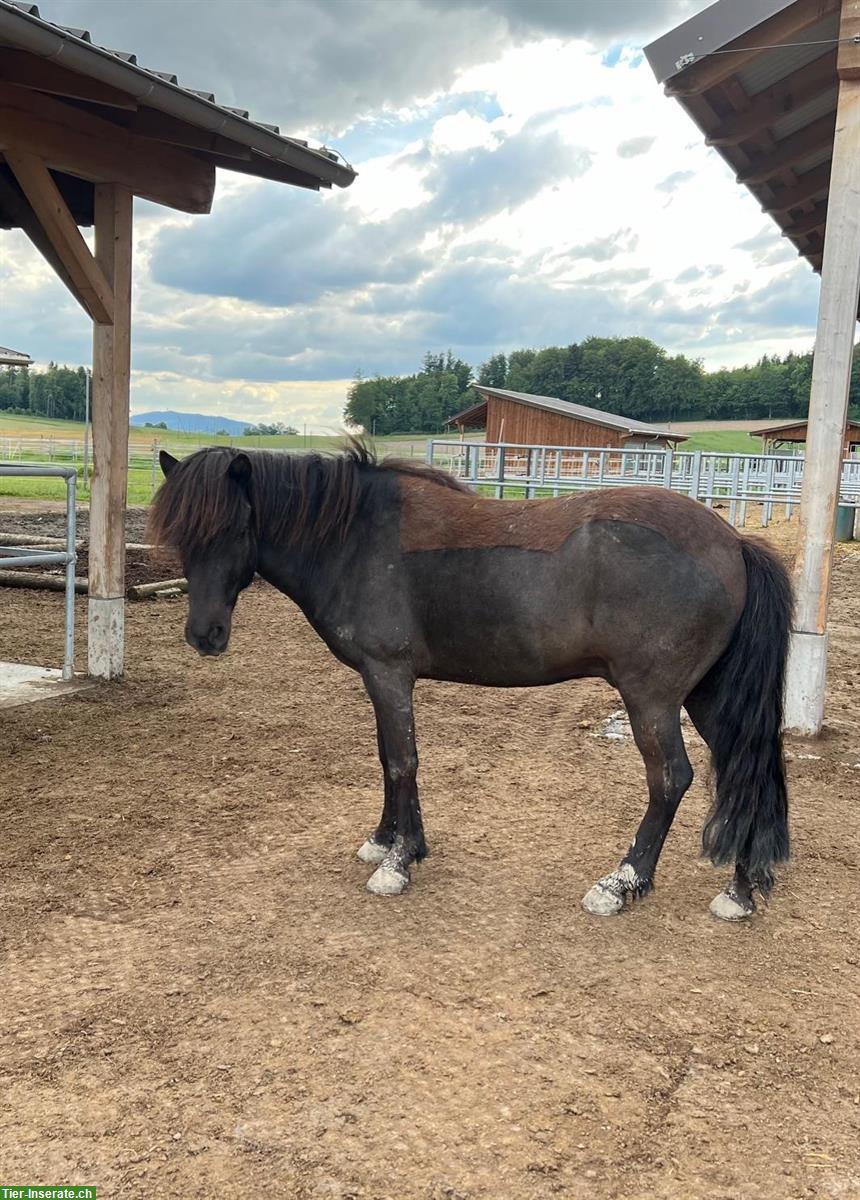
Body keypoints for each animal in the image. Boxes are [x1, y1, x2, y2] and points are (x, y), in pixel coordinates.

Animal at [149, 446, 791, 921]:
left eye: (235, 528)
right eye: (180, 533)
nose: (204, 635)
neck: (354, 537)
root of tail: (733, 542)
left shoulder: (389, 672)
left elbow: (403, 761)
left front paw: (398, 862)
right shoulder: (380, 679)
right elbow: (386, 759)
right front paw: (384, 840)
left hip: (651, 700)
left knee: (671, 779)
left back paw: (622, 882)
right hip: (705, 698)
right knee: (743, 769)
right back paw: (739, 891)